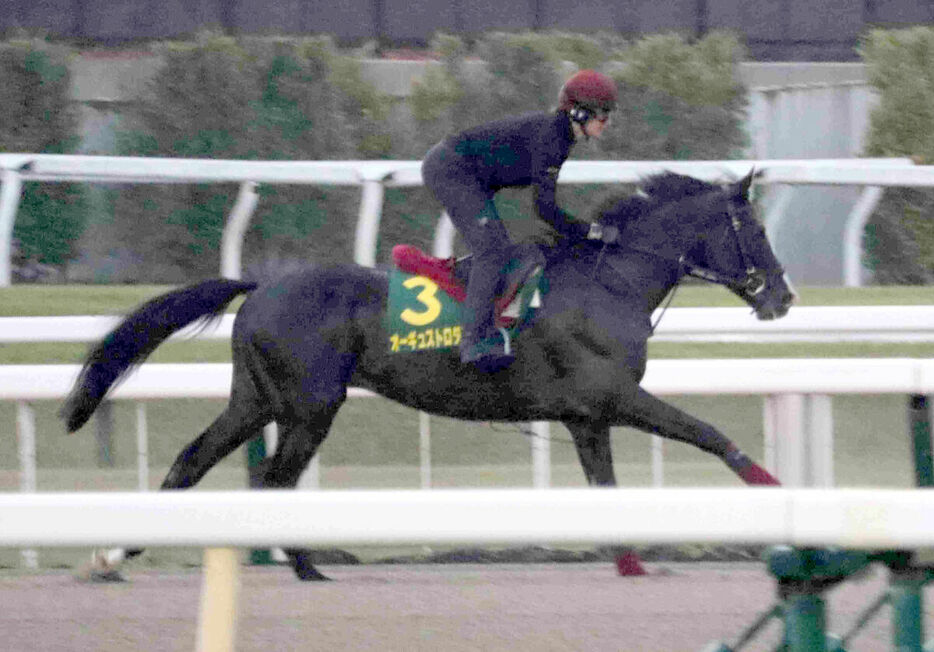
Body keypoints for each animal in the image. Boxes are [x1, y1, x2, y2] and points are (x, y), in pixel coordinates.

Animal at [62, 169, 796, 580]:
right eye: (755, 229)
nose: (782, 296)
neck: (608, 280)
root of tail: (260, 284)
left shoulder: (587, 417)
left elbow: (607, 489)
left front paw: (632, 562)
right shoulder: (615, 395)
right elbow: (709, 434)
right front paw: (778, 494)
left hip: (257, 399)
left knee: (194, 460)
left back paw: (116, 555)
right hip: (311, 404)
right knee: (274, 479)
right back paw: (305, 567)